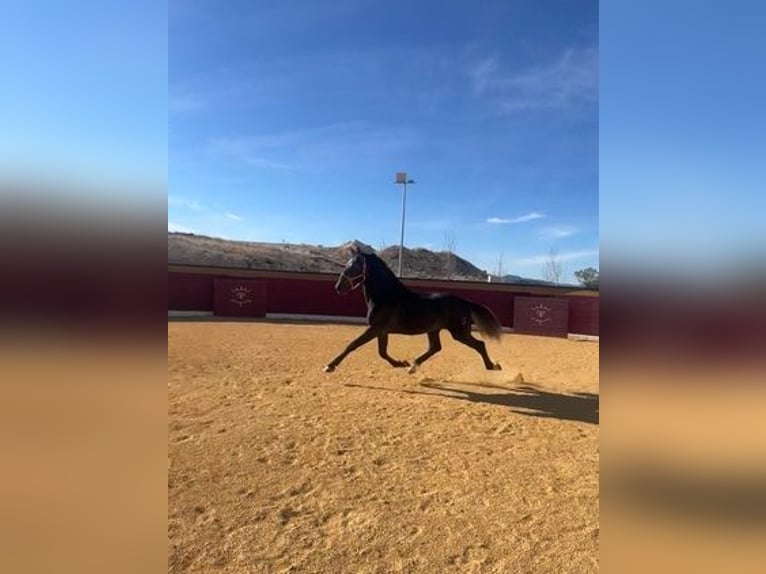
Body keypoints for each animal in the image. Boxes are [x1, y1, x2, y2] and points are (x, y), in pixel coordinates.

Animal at [322, 246, 504, 374]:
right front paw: (400, 363)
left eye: (354, 266)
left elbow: (352, 345)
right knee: (435, 348)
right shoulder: (381, 331)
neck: (385, 296)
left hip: (459, 332)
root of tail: (465, 302)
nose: (338, 287)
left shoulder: (375, 329)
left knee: (479, 344)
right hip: (434, 330)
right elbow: (382, 352)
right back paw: (413, 366)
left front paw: (329, 366)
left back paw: (492, 366)